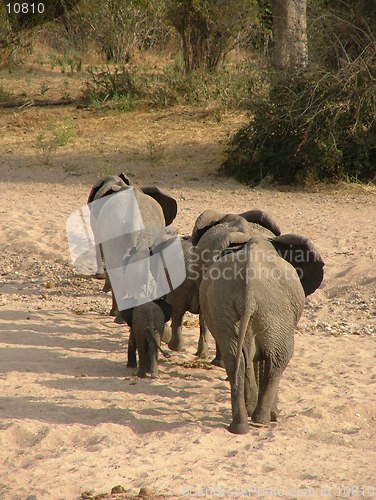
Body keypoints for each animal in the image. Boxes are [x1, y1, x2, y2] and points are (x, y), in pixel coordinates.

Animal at [198, 232, 324, 432]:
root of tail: (248, 293)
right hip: (274, 311)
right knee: (278, 359)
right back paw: (262, 420)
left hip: (223, 309)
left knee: (235, 360)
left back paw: (240, 426)